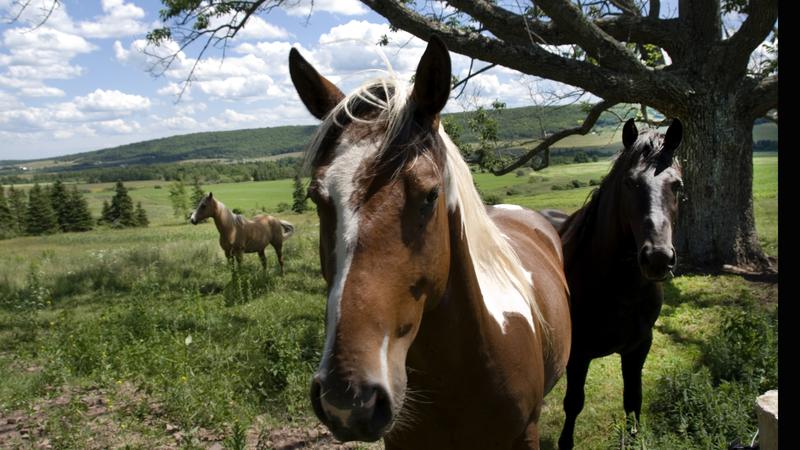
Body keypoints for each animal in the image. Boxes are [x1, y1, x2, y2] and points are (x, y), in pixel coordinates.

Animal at [548, 118, 684, 448]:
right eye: (630, 183)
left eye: (677, 185)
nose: (658, 258)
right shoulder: (579, 354)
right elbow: (573, 404)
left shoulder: (638, 347)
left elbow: (633, 399)